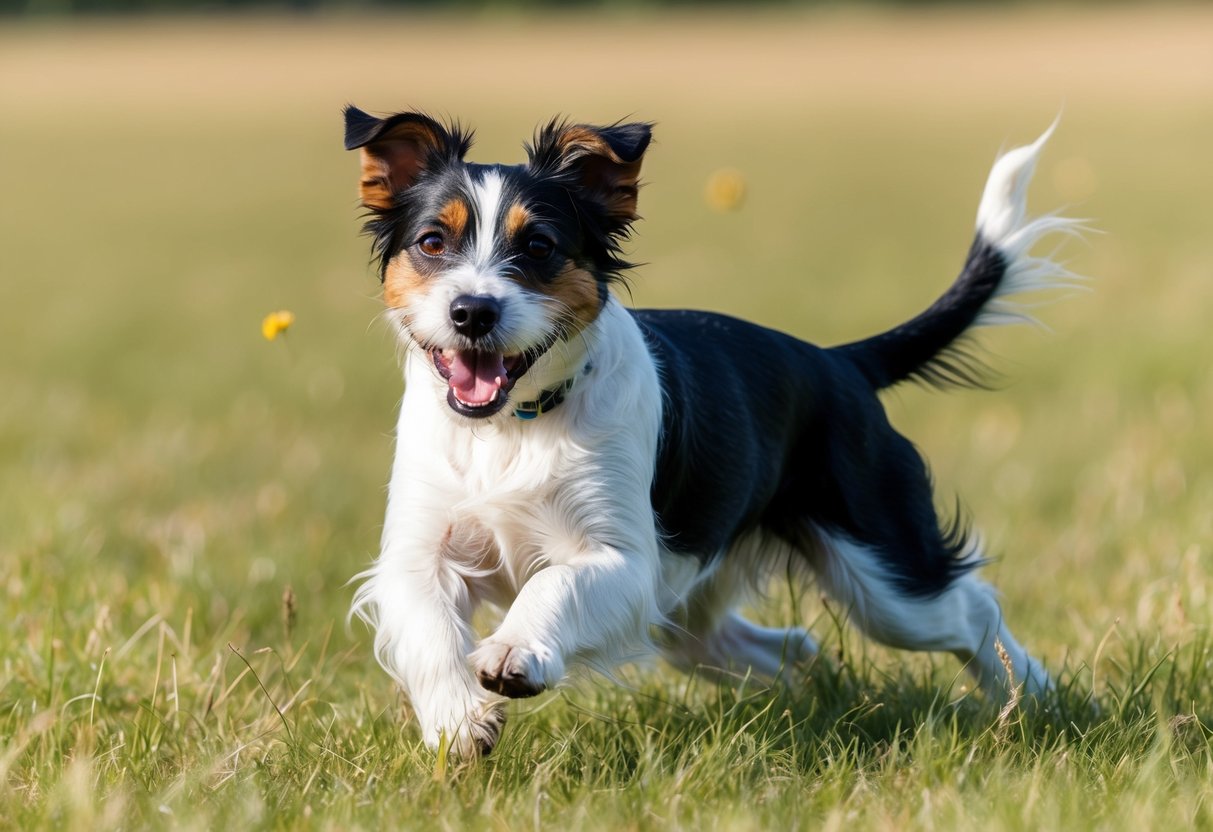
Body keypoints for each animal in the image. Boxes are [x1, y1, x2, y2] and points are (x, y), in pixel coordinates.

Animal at [346, 107, 1077, 761]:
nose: (472, 311)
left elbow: (551, 587)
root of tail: (840, 363)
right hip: (692, 611)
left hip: (882, 575)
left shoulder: (622, 560)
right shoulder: (419, 548)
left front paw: (512, 652)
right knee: (785, 645)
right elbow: (427, 625)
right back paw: (820, 696)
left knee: (968, 609)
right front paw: (458, 720)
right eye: (432, 242)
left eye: (539, 247)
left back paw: (1036, 699)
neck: (509, 429)